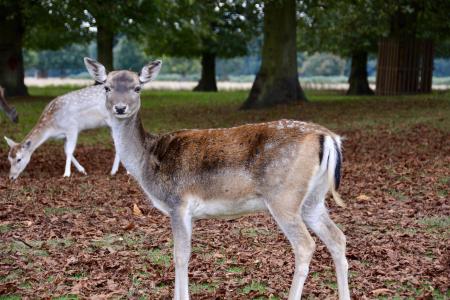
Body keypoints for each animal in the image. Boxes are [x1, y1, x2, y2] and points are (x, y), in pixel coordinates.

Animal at [85, 56, 352, 300]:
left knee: (306, 245)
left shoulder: (178, 203)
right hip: (313, 199)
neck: (147, 160)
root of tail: (328, 137)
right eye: (106, 87)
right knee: (338, 237)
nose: (120, 108)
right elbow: (183, 253)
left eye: (137, 87)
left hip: (284, 196)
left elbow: (180, 255)